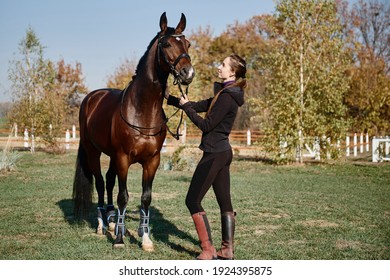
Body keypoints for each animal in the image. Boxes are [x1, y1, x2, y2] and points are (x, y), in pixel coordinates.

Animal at [72, 12, 194, 249]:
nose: (188, 73)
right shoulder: (123, 158)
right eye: (167, 44)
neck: (142, 110)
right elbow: (124, 196)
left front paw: (145, 238)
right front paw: (119, 239)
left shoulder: (152, 160)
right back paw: (102, 225)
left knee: (109, 181)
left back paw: (111, 222)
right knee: (101, 183)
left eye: (187, 44)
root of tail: (91, 98)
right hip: (93, 152)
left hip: (111, 156)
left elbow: (145, 198)